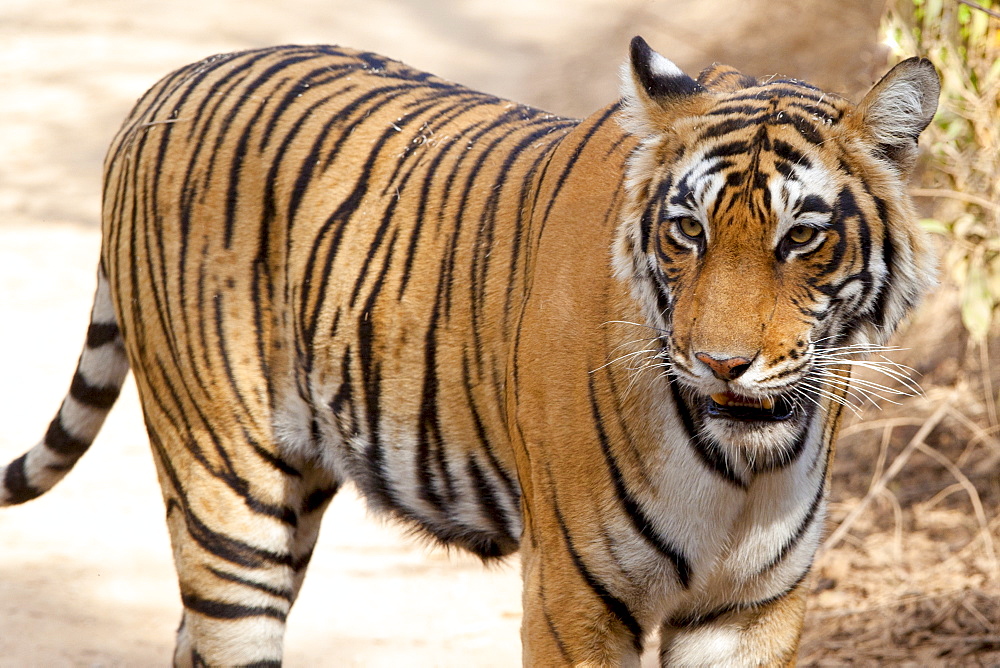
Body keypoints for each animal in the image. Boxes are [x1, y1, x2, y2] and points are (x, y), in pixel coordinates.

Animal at [0, 37, 936, 668]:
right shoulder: (573, 596)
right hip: (225, 492)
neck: (742, 467)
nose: (722, 365)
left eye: (801, 238)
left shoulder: (751, 609)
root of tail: (166, 83)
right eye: (687, 232)